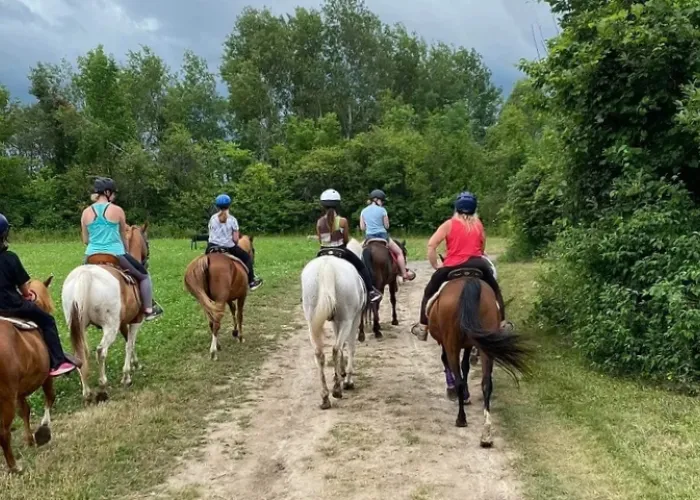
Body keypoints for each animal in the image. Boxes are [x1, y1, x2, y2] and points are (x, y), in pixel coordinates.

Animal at [61, 266, 142, 402]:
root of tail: (85, 273)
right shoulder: (135, 321)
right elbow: (130, 345)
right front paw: (127, 376)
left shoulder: (123, 323)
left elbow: (129, 342)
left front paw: (134, 364)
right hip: (110, 327)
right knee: (101, 351)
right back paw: (103, 386)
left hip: (78, 326)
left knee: (80, 354)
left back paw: (87, 391)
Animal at [300, 239, 366, 410]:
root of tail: (327, 266)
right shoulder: (353, 319)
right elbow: (349, 347)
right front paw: (347, 379)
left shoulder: (336, 322)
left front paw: (340, 373)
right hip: (347, 320)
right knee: (336, 349)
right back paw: (337, 390)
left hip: (312, 322)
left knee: (319, 353)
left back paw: (325, 397)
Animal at [426, 274, 532, 450]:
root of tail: (468, 282)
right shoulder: (470, 343)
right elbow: (465, 365)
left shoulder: (446, 343)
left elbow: (449, 363)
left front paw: (454, 392)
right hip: (484, 342)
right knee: (486, 383)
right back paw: (486, 434)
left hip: (451, 342)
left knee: (458, 377)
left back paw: (461, 418)